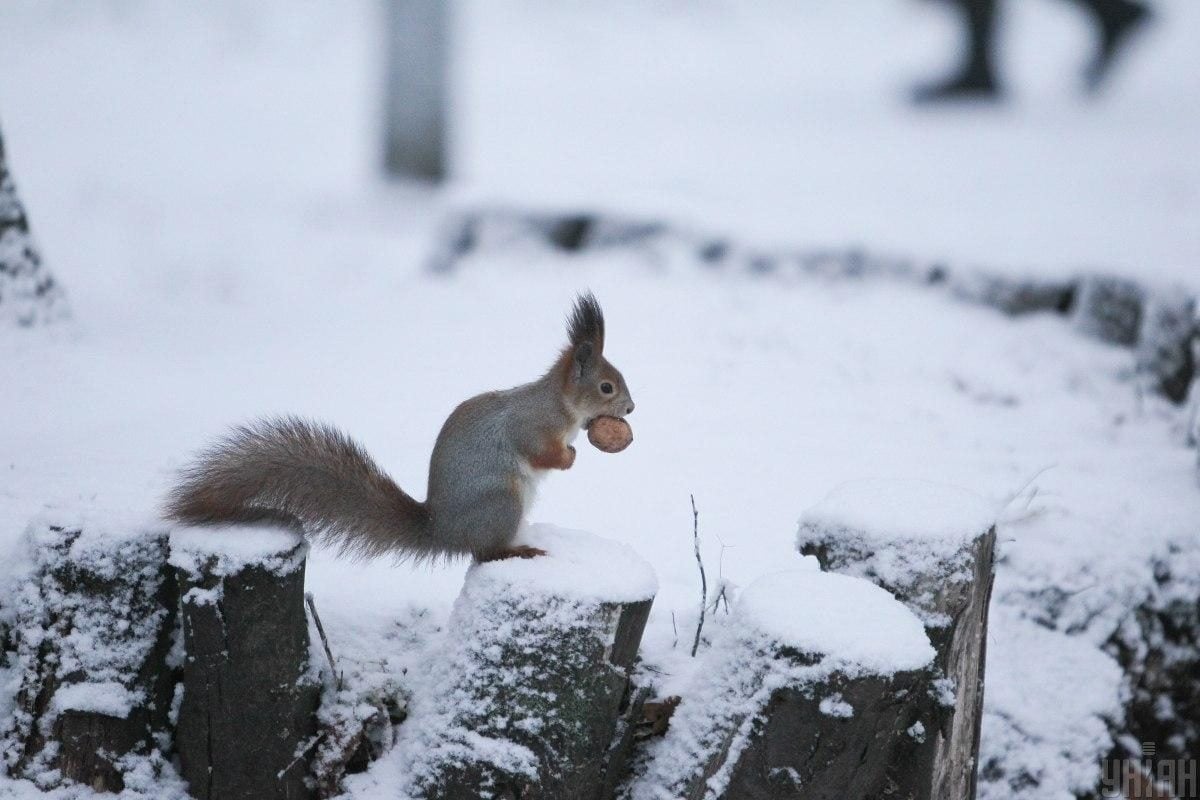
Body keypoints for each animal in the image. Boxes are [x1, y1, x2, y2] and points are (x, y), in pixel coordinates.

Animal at [170, 292, 643, 563]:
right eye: (606, 386)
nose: (632, 407)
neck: (560, 405)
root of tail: (442, 533)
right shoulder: (532, 425)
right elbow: (541, 451)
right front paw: (569, 457)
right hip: (501, 503)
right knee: (485, 552)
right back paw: (516, 549)